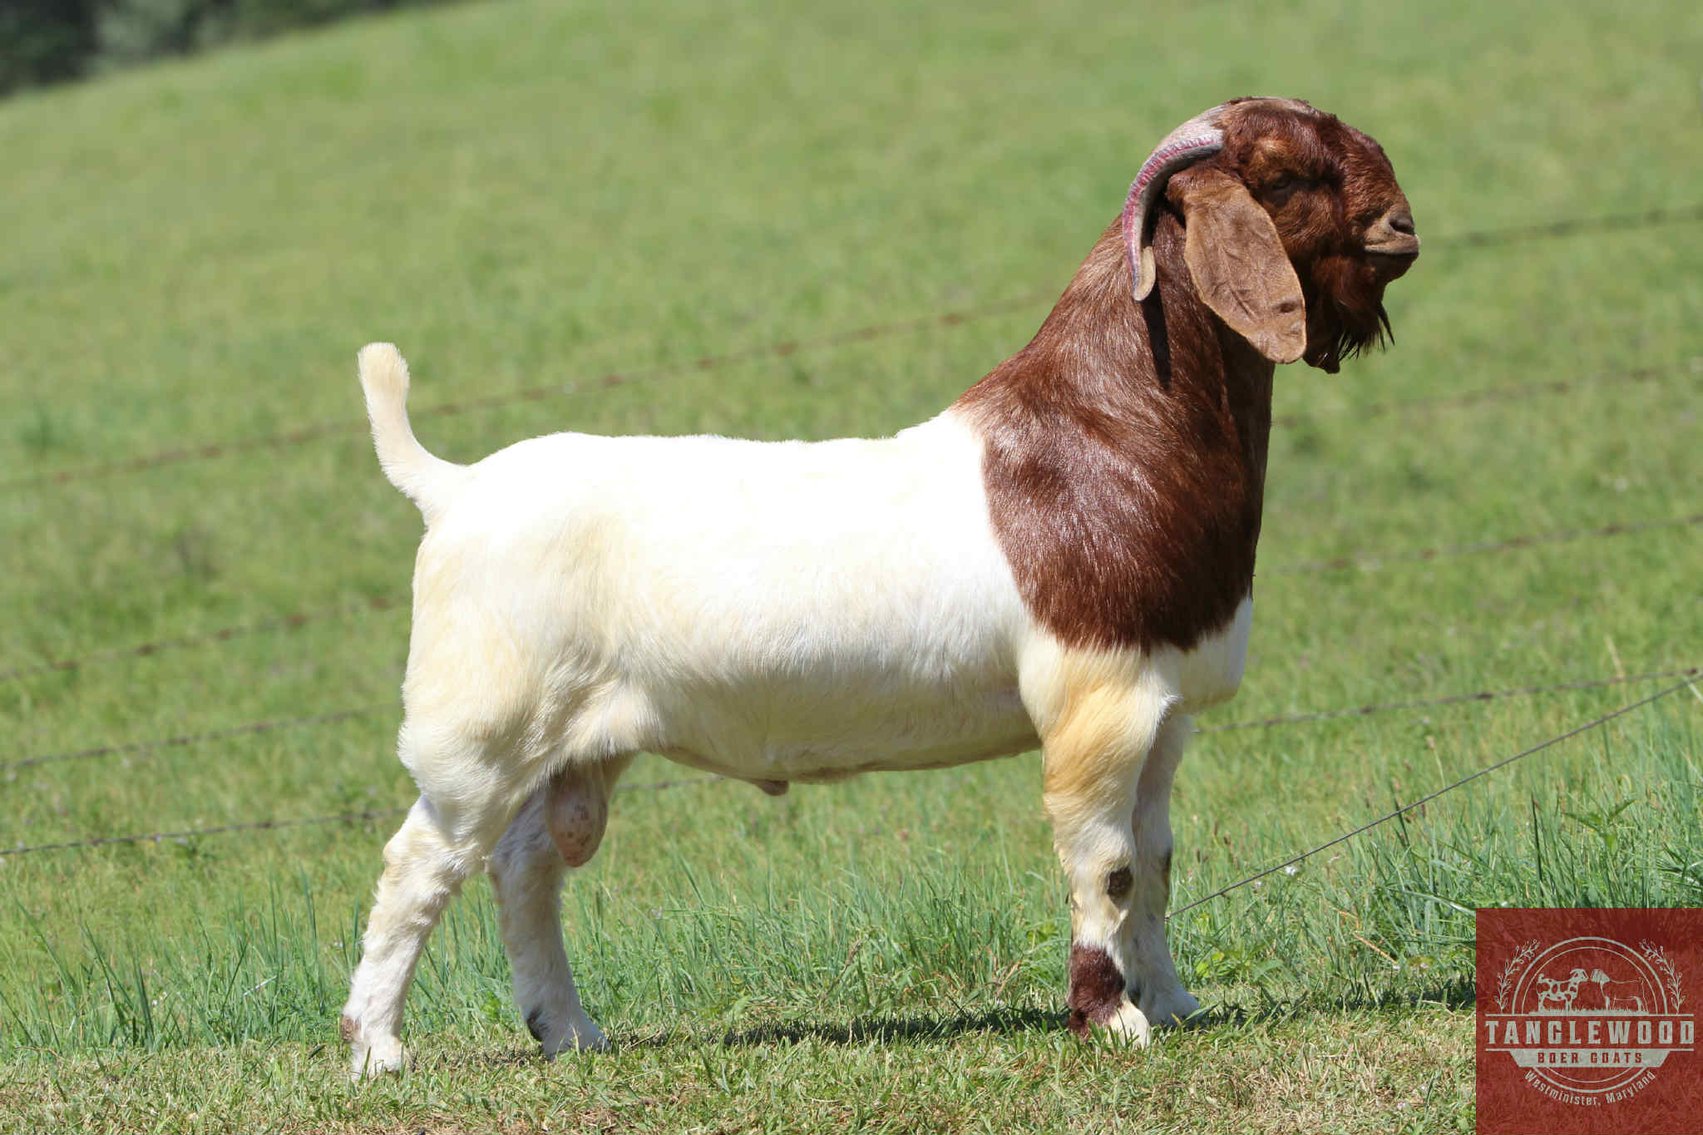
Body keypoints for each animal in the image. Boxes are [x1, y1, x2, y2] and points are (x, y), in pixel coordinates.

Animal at [340, 97, 1418, 1076]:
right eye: (1286, 173)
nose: (1402, 228)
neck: (1103, 432)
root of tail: (451, 485)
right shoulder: (1095, 700)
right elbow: (1103, 864)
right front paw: (1108, 1019)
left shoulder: (1163, 707)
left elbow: (1152, 861)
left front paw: (1174, 1001)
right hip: (480, 730)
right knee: (420, 865)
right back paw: (377, 1048)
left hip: (574, 741)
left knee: (524, 865)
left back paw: (566, 1030)